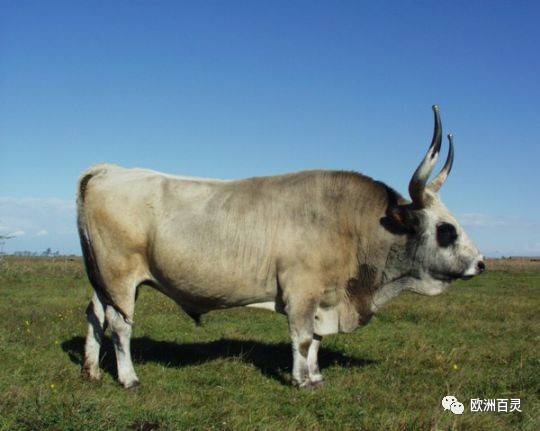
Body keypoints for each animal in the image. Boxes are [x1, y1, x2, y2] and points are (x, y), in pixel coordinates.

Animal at [77, 106, 486, 390]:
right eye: (445, 230)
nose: (481, 263)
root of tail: (108, 170)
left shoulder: (323, 297)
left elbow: (316, 340)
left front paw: (317, 376)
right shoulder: (301, 293)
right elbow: (302, 338)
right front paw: (301, 380)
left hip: (103, 281)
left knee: (95, 316)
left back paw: (92, 371)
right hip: (120, 279)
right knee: (120, 326)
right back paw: (128, 378)